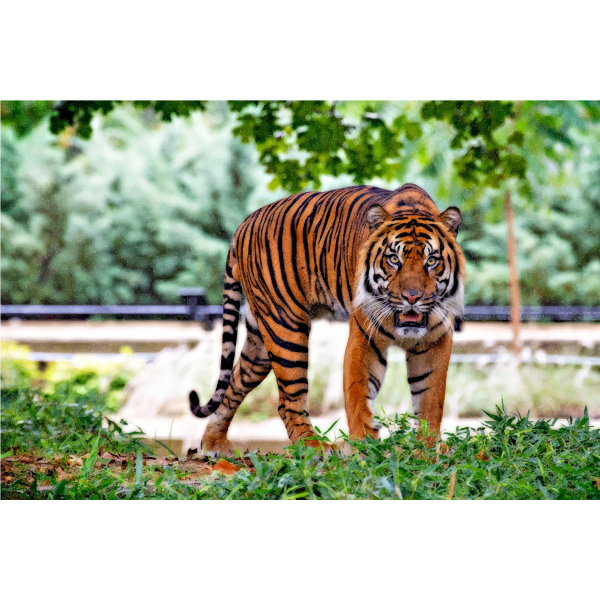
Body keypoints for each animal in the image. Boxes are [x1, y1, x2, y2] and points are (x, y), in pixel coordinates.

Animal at [190, 183, 466, 454]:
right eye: (393, 259)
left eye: (432, 261)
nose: (412, 297)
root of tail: (244, 223)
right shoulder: (364, 339)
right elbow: (359, 396)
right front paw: (365, 448)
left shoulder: (435, 342)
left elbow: (430, 400)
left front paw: (427, 449)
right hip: (285, 328)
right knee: (287, 401)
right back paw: (314, 446)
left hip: (260, 340)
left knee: (235, 382)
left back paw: (213, 443)